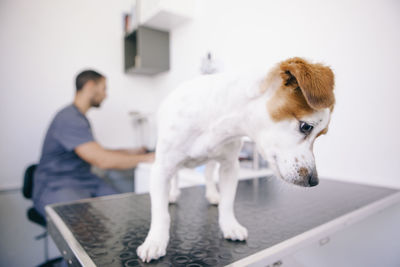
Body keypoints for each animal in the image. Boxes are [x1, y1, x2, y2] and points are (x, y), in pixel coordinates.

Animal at [138, 57, 334, 262]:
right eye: (306, 126)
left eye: (320, 135)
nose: (314, 180)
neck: (219, 119)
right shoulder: (161, 169)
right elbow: (161, 214)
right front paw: (155, 241)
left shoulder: (230, 167)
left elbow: (227, 202)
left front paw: (229, 226)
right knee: (176, 176)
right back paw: (173, 193)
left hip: (211, 160)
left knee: (208, 174)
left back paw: (212, 194)